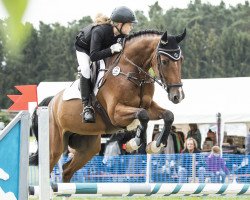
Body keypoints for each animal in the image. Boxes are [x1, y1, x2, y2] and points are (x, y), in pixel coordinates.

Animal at [48, 28, 186, 182]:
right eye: (165, 61)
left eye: (181, 60)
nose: (178, 96)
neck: (133, 73)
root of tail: (52, 102)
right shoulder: (115, 114)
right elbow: (142, 115)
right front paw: (133, 142)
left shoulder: (148, 106)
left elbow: (168, 115)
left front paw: (155, 145)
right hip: (55, 147)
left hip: (88, 147)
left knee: (67, 170)